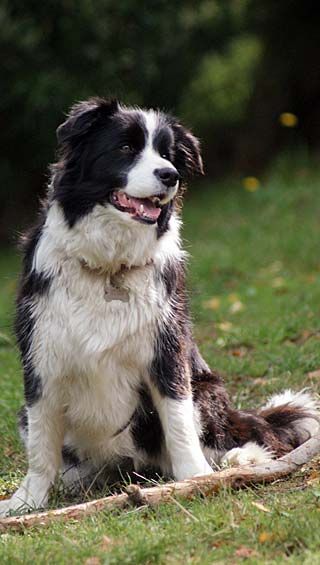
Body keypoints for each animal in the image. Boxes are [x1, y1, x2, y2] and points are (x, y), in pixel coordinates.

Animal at [1, 98, 318, 516]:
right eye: (125, 148)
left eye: (167, 155)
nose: (170, 176)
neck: (111, 266)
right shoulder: (42, 357)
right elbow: (41, 446)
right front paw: (26, 501)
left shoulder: (167, 352)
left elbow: (179, 422)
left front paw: (196, 477)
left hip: (207, 390)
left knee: (239, 434)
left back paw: (238, 460)